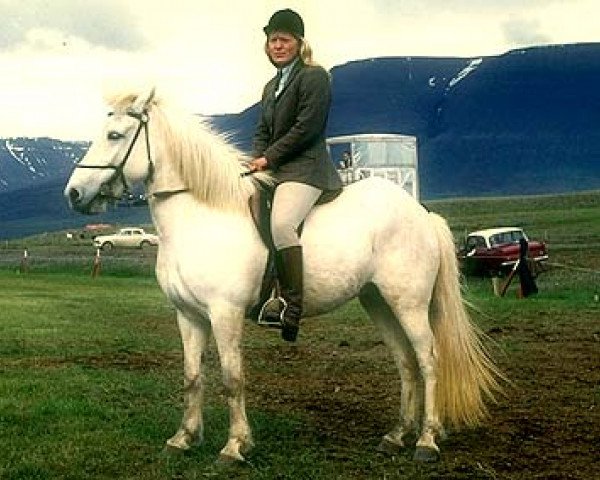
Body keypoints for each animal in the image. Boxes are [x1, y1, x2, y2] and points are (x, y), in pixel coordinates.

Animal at [63, 88, 504, 464]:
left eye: (115, 135)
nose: (74, 194)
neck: (200, 216)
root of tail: (421, 214)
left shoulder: (224, 313)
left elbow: (232, 378)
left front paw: (235, 446)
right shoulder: (188, 316)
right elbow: (192, 376)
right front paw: (184, 438)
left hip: (409, 303)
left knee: (427, 360)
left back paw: (426, 440)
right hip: (378, 301)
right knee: (405, 361)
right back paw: (397, 436)